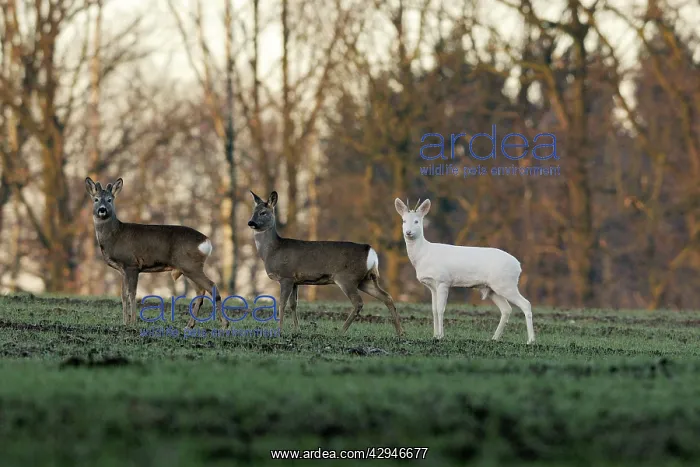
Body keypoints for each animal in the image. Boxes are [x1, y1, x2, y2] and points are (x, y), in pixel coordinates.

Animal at [85, 177, 225, 329]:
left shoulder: (132, 264)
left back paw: (224, 324)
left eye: (110, 199)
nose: (102, 210)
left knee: (211, 286)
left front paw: (133, 322)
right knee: (200, 291)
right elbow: (123, 294)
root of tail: (207, 241)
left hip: (191, 265)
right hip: (188, 268)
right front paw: (125, 322)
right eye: (96, 199)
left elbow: (132, 293)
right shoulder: (122, 270)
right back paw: (189, 325)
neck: (115, 235)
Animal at [247, 190, 404, 336]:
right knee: (386, 297)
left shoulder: (286, 276)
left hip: (347, 277)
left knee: (358, 302)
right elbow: (293, 304)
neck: (272, 251)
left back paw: (341, 330)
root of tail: (371, 252)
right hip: (366, 279)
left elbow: (282, 303)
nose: (250, 223)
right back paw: (400, 332)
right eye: (253, 212)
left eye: (263, 212)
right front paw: (297, 329)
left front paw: (280, 331)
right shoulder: (296, 280)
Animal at [394, 198, 535, 344]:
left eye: (417, 221)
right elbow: (433, 310)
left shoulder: (443, 280)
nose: (408, 232)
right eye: (404, 220)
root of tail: (518, 266)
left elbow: (440, 309)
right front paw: (435, 335)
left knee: (526, 304)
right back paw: (494, 338)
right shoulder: (432, 285)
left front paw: (441, 336)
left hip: (506, 284)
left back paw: (530, 340)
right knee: (507, 309)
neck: (423, 255)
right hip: (493, 289)